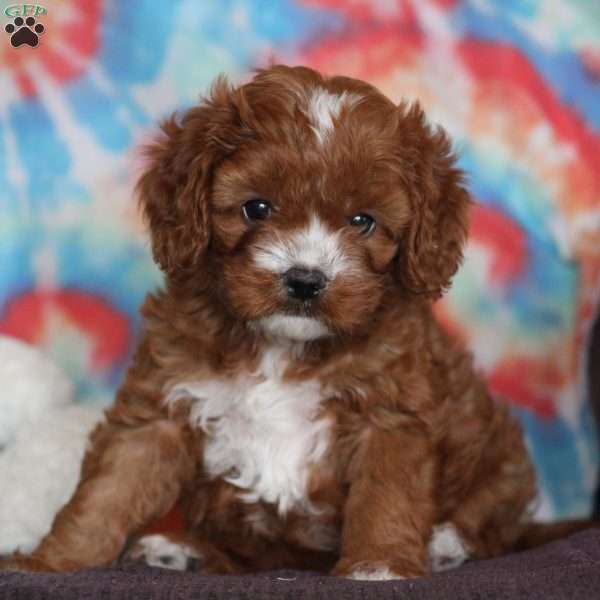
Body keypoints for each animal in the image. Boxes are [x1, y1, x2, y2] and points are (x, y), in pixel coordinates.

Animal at [4, 67, 540, 580]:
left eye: (362, 221)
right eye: (256, 207)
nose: (305, 280)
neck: (283, 346)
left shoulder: (391, 415)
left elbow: (386, 498)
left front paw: (379, 567)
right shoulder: (163, 403)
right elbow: (107, 492)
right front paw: (51, 563)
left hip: (501, 463)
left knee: (494, 523)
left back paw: (447, 544)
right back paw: (182, 550)